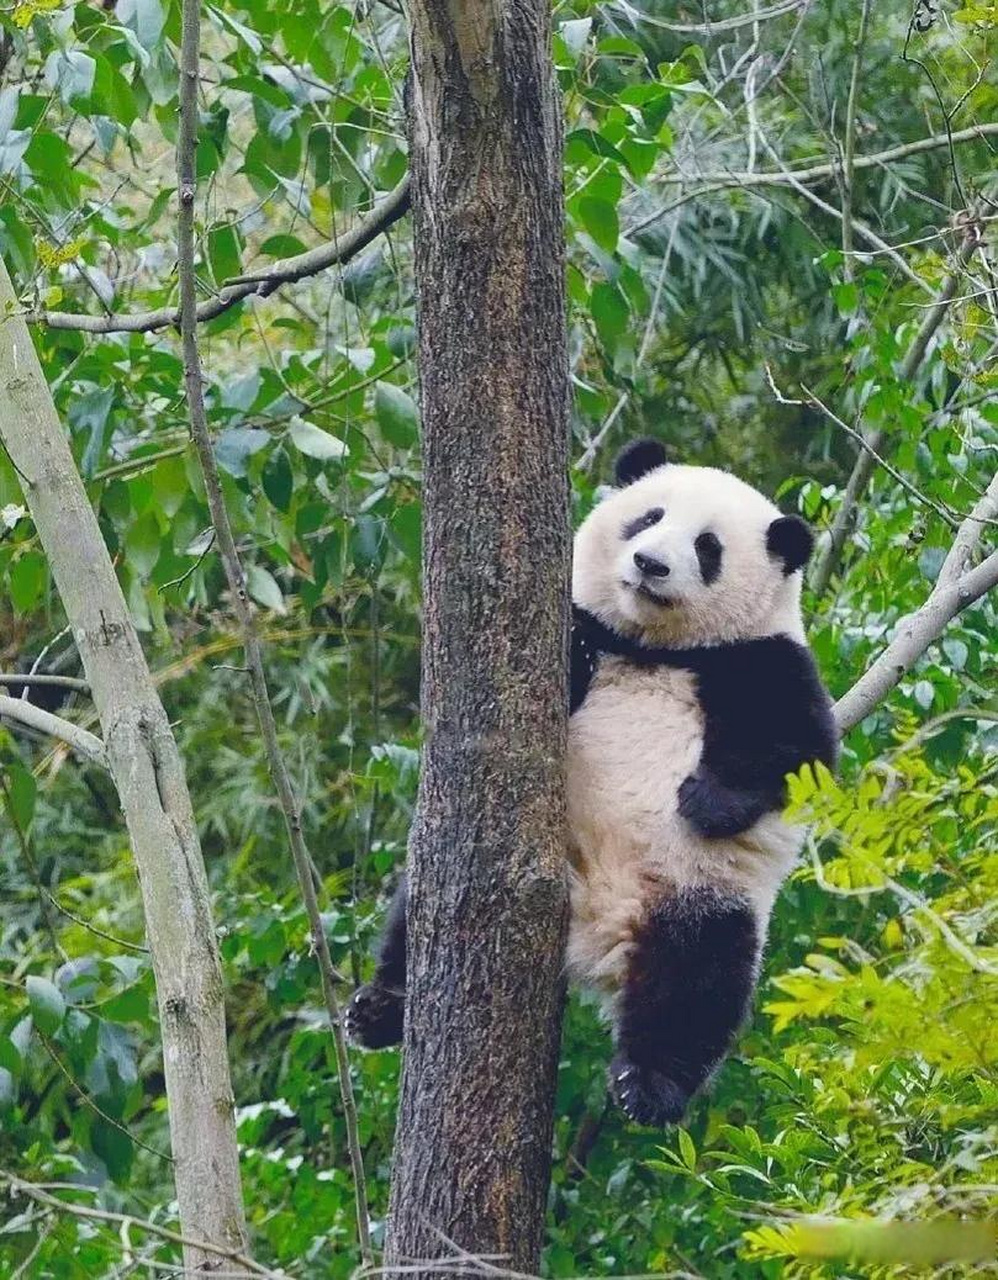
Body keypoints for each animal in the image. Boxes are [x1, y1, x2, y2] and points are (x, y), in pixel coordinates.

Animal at [348, 442, 839, 1131]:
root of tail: (596, 930)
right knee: (411, 916)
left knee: (698, 981)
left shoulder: (763, 659)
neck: (654, 648)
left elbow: (799, 752)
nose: (650, 563)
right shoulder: (582, 629)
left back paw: (650, 1087)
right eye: (648, 517)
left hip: (699, 891)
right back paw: (380, 1008)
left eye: (707, 546)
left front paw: (707, 802)